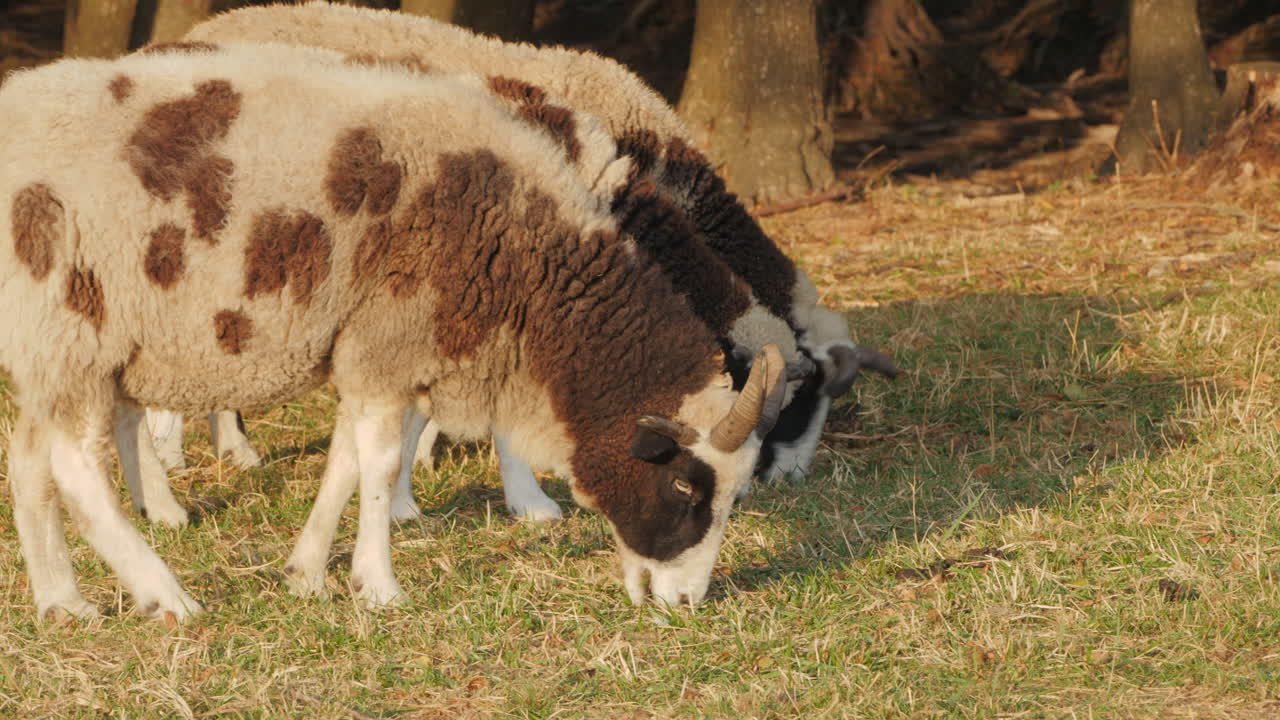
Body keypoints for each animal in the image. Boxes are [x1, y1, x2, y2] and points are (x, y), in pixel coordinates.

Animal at [0, 43, 788, 621]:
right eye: (686, 486)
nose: (686, 603)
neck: (523, 248)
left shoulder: (369, 346)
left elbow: (346, 462)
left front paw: (308, 571)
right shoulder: (392, 335)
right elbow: (376, 467)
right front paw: (377, 585)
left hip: (47, 346)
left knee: (30, 461)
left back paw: (63, 602)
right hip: (73, 322)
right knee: (73, 466)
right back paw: (166, 594)